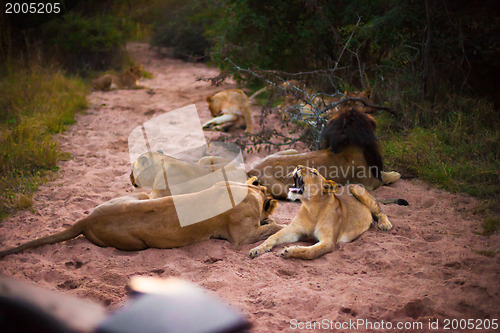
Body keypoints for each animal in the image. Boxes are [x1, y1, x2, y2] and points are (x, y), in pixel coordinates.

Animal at [0, 179, 282, 256]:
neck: (252, 191)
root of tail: (86, 220)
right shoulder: (242, 236)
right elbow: (275, 226)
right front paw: (275, 222)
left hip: (141, 196)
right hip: (137, 243)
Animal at [248, 107, 400, 198]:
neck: (347, 146)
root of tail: (252, 170)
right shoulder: (369, 182)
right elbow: (386, 176)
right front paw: (395, 174)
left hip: (291, 150)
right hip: (281, 189)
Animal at [250, 166, 394, 260]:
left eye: (314, 172)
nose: (298, 166)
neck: (312, 207)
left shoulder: (328, 241)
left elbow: (310, 252)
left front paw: (290, 251)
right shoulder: (293, 230)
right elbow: (273, 237)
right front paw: (257, 249)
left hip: (358, 190)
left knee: (381, 212)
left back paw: (384, 225)